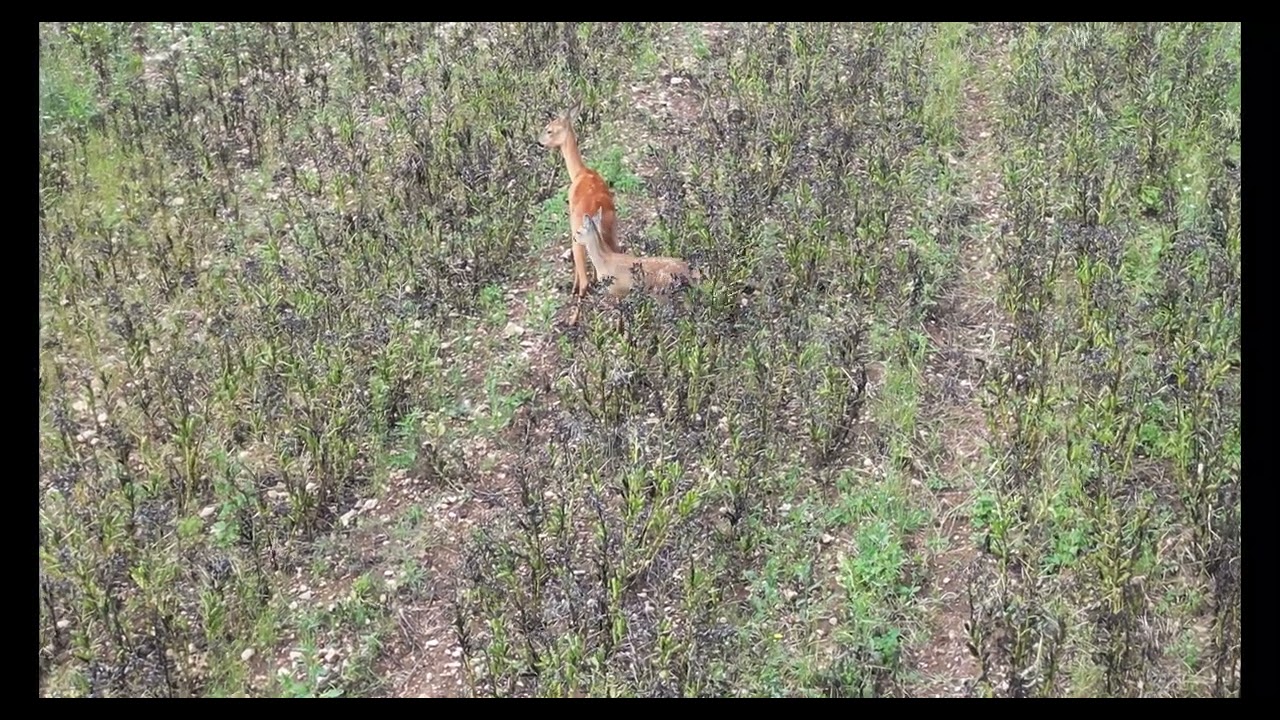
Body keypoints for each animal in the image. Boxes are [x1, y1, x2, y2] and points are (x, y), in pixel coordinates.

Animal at [538, 100, 624, 308]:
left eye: (549, 129)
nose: (539, 141)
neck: (579, 172)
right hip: (612, 232)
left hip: (578, 234)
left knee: (583, 278)